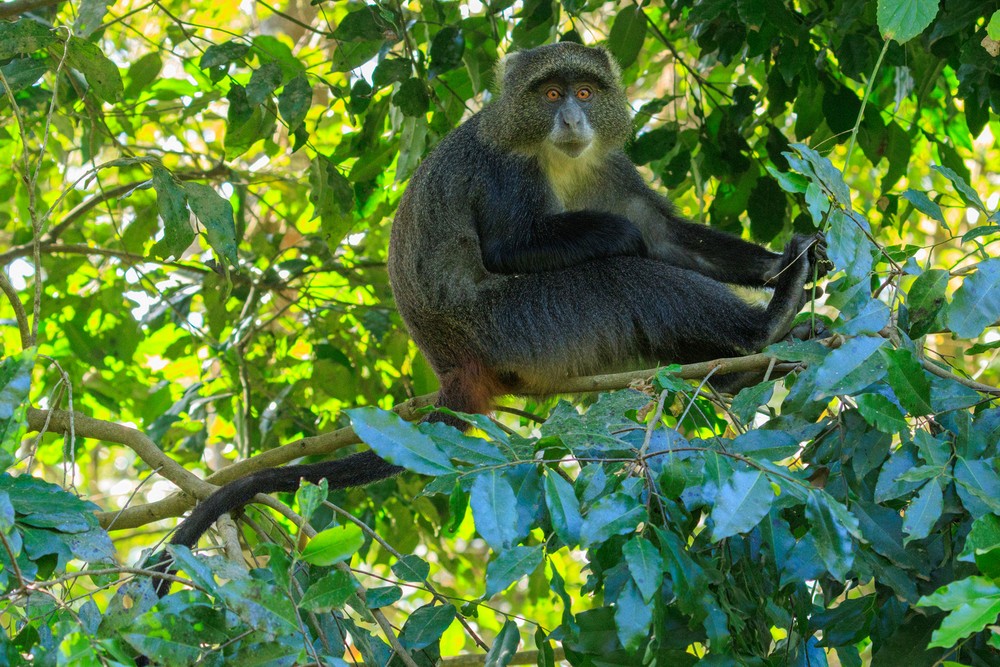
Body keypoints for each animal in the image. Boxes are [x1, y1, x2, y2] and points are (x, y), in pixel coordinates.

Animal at [145, 42, 825, 600]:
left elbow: (667, 236)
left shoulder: (610, 168)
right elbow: (520, 247)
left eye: (584, 93)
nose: (572, 120)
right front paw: (627, 238)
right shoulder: (507, 173)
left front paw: (786, 263)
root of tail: (450, 361)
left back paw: (746, 358)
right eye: (549, 96)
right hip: (523, 323)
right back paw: (761, 332)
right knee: (627, 281)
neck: (557, 157)